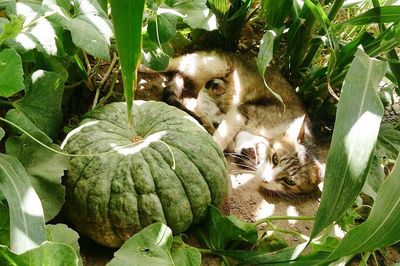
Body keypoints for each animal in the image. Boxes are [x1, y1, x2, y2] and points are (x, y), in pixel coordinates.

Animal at [148, 51, 324, 195]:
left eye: (290, 181)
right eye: (275, 159)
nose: (266, 179)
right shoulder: (243, 111)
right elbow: (223, 135)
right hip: (209, 65)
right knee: (169, 63)